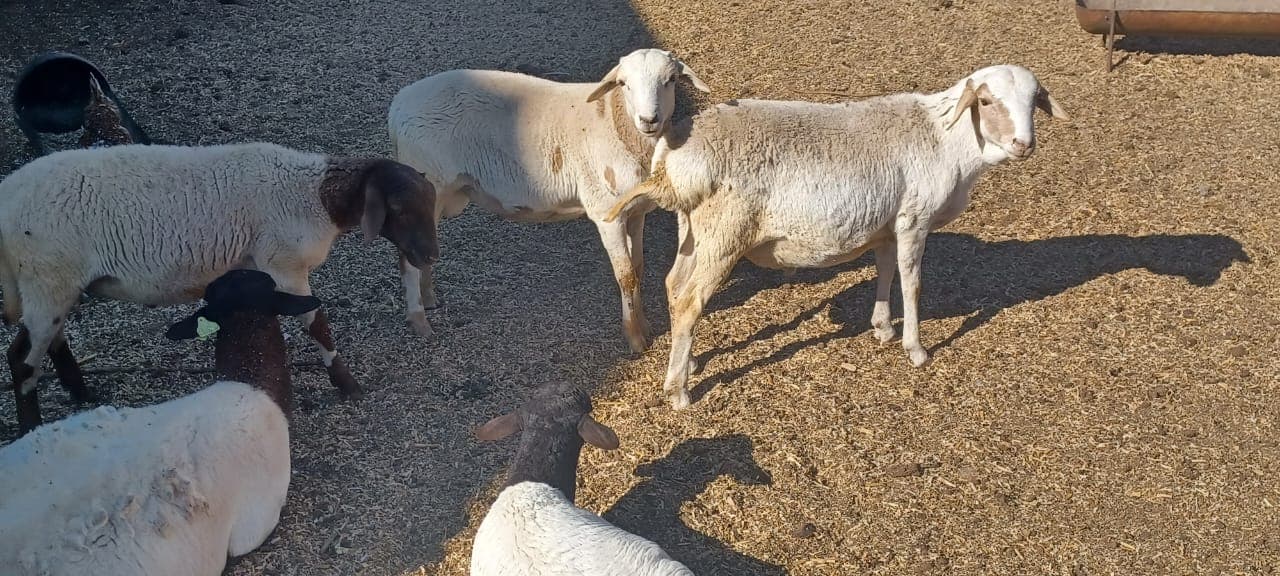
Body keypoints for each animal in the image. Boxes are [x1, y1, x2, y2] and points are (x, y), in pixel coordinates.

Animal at [0, 142, 439, 433]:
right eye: (398, 210)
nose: (430, 256)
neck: (313, 197)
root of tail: (6, 201)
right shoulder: (284, 265)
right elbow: (317, 324)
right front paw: (348, 385)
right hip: (46, 276)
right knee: (21, 359)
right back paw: (30, 429)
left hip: (56, 284)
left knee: (52, 341)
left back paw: (82, 394)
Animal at [388, 48, 710, 349]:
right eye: (623, 83)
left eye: (671, 80)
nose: (648, 120)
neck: (615, 123)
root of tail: (397, 106)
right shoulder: (606, 213)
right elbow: (626, 275)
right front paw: (634, 338)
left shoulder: (636, 211)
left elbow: (638, 267)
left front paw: (643, 325)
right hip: (429, 184)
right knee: (406, 258)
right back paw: (419, 320)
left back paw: (428, 298)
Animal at [605, 64, 1070, 409]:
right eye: (987, 102)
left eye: (1034, 102)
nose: (1023, 144)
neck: (946, 140)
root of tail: (671, 163)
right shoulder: (914, 219)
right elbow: (912, 283)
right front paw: (915, 349)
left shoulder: (887, 225)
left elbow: (885, 270)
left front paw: (882, 327)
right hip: (725, 231)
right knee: (689, 300)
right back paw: (678, 391)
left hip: (695, 228)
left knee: (673, 286)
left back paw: (688, 362)